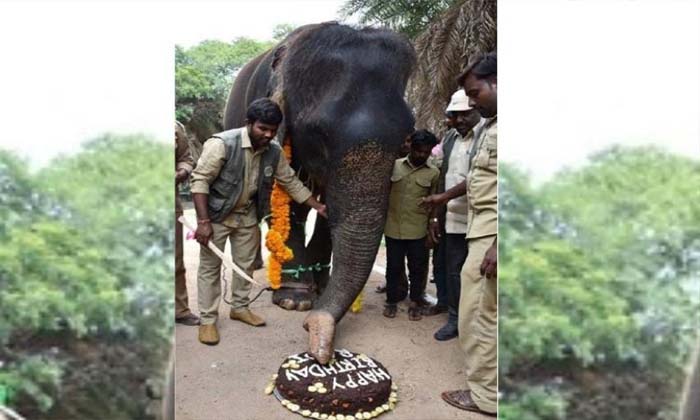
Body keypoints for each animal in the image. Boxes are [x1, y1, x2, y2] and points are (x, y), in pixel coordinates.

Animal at [224, 22, 416, 364]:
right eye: (318, 134)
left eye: (405, 139)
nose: (312, 329)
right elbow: (284, 196)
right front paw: (295, 301)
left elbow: (328, 211)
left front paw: (320, 286)